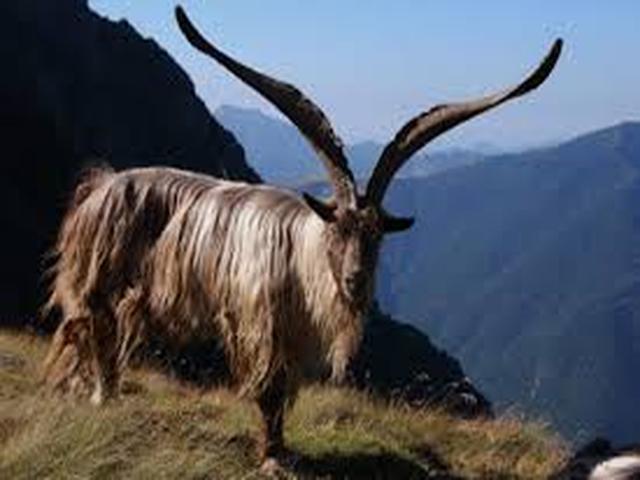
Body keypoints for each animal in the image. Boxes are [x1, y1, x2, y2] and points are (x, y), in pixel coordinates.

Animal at [42, 5, 562, 468]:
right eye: (337, 230)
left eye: (377, 236)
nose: (355, 281)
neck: (302, 255)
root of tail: (99, 187)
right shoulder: (259, 326)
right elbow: (268, 393)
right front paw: (271, 458)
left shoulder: (291, 342)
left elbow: (281, 399)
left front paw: (280, 448)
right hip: (99, 282)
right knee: (92, 332)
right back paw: (98, 396)